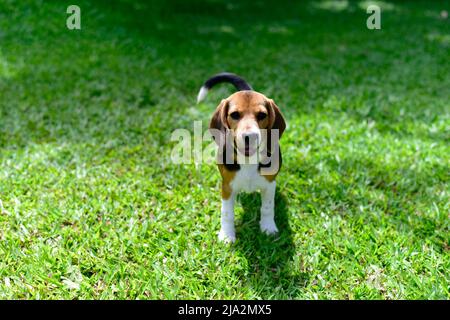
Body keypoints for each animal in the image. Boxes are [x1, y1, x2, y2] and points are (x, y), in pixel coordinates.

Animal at [196, 73, 284, 242]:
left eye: (262, 115)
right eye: (235, 115)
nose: (250, 136)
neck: (248, 160)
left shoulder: (269, 185)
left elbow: (267, 208)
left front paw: (268, 228)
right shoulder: (227, 187)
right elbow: (227, 213)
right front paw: (226, 235)